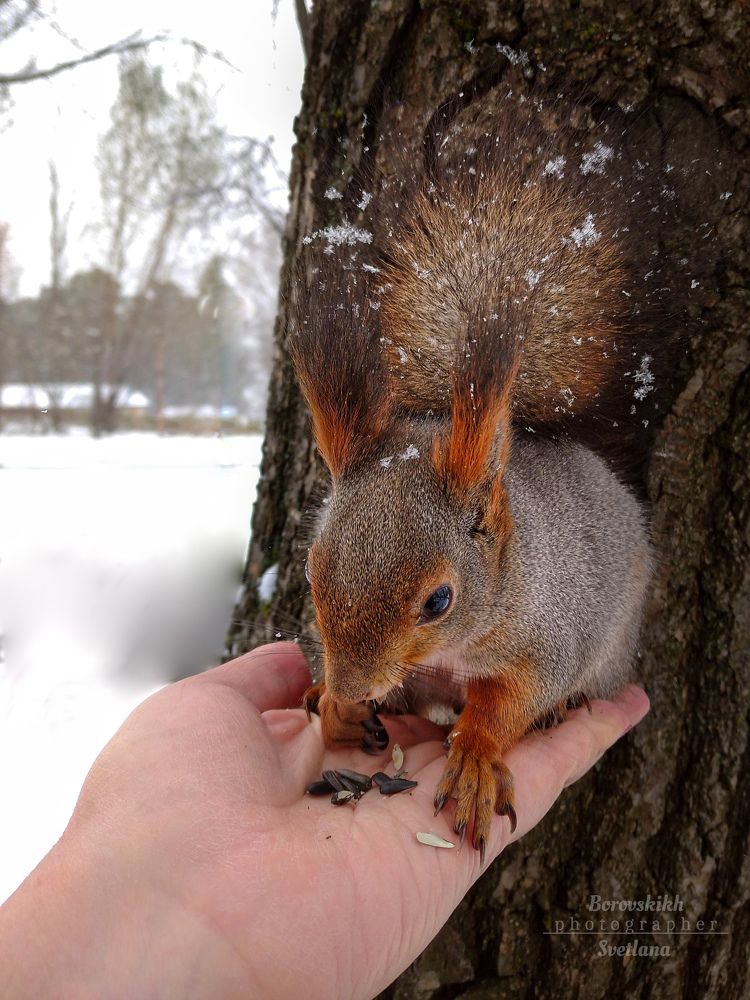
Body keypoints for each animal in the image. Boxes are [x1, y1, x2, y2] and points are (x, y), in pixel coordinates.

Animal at [289, 94, 672, 862]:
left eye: (439, 600)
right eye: (311, 571)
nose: (351, 682)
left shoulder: (549, 634)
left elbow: (511, 699)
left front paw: (472, 757)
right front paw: (337, 707)